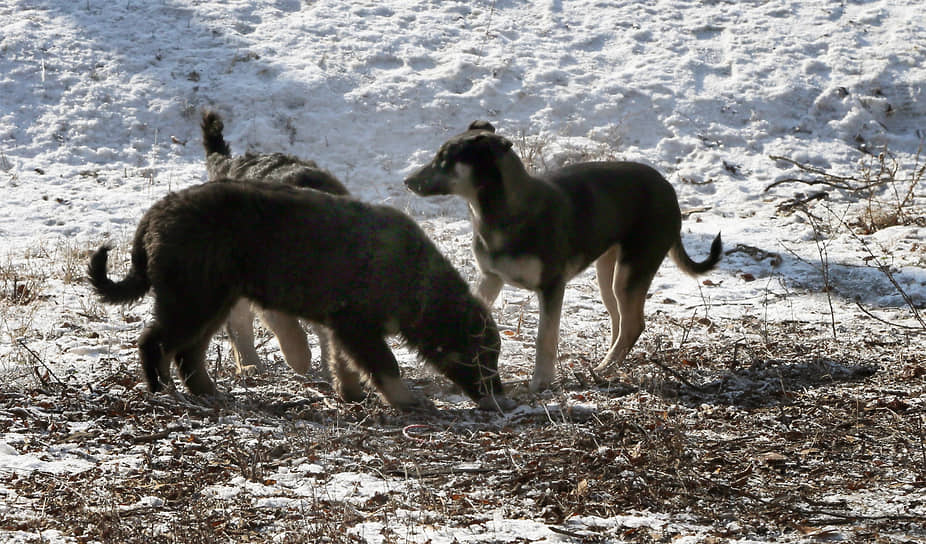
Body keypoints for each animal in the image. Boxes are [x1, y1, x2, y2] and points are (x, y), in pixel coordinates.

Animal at [89, 180, 512, 412]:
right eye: (481, 356)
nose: (500, 400)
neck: (417, 282)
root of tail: (153, 215)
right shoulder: (358, 325)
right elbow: (386, 365)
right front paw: (405, 400)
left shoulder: (344, 326)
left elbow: (343, 361)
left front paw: (350, 394)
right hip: (193, 299)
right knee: (155, 342)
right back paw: (162, 391)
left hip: (212, 300)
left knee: (188, 352)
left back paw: (207, 392)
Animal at [406, 120, 724, 392]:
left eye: (445, 159)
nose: (408, 181)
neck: (501, 213)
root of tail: (669, 190)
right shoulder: (490, 277)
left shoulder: (551, 286)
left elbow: (545, 337)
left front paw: (541, 381)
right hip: (607, 273)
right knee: (621, 321)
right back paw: (608, 363)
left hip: (631, 270)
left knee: (633, 323)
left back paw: (605, 368)